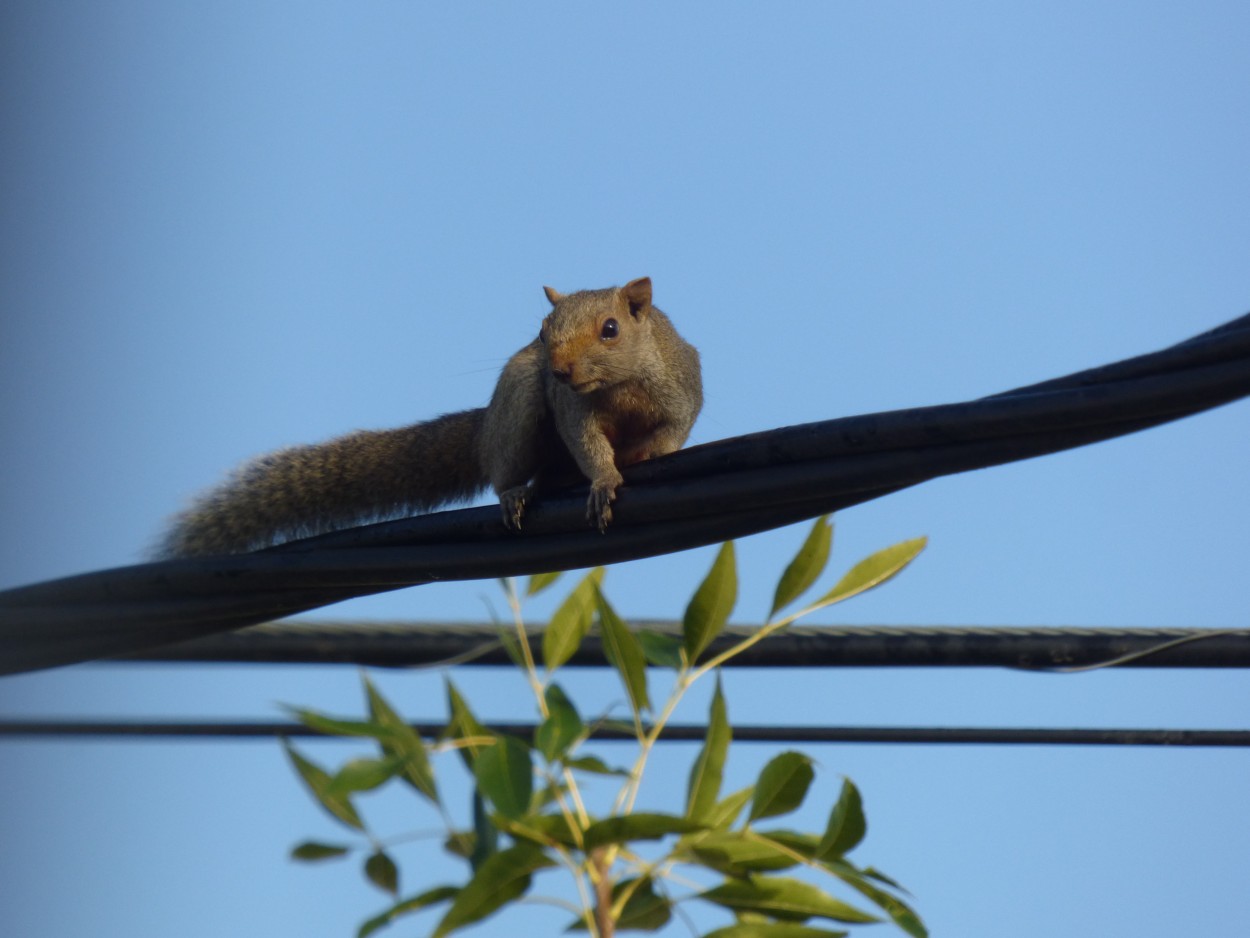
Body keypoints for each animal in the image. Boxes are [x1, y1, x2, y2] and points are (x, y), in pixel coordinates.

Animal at [156, 277, 705, 557]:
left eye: (611, 329)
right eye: (542, 332)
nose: (560, 370)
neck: (619, 388)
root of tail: (483, 432)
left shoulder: (681, 386)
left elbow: (675, 428)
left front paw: (648, 453)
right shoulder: (573, 410)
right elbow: (588, 445)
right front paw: (605, 480)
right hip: (517, 410)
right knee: (510, 470)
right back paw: (517, 494)